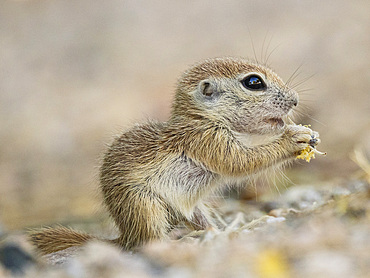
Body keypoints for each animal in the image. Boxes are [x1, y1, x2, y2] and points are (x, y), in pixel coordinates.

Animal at [30, 57, 320, 254]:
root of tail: (124, 235)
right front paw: (293, 139)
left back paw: (228, 230)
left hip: (191, 209)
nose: (295, 100)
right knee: (148, 242)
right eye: (254, 82)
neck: (203, 119)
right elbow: (240, 162)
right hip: (144, 206)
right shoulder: (206, 140)